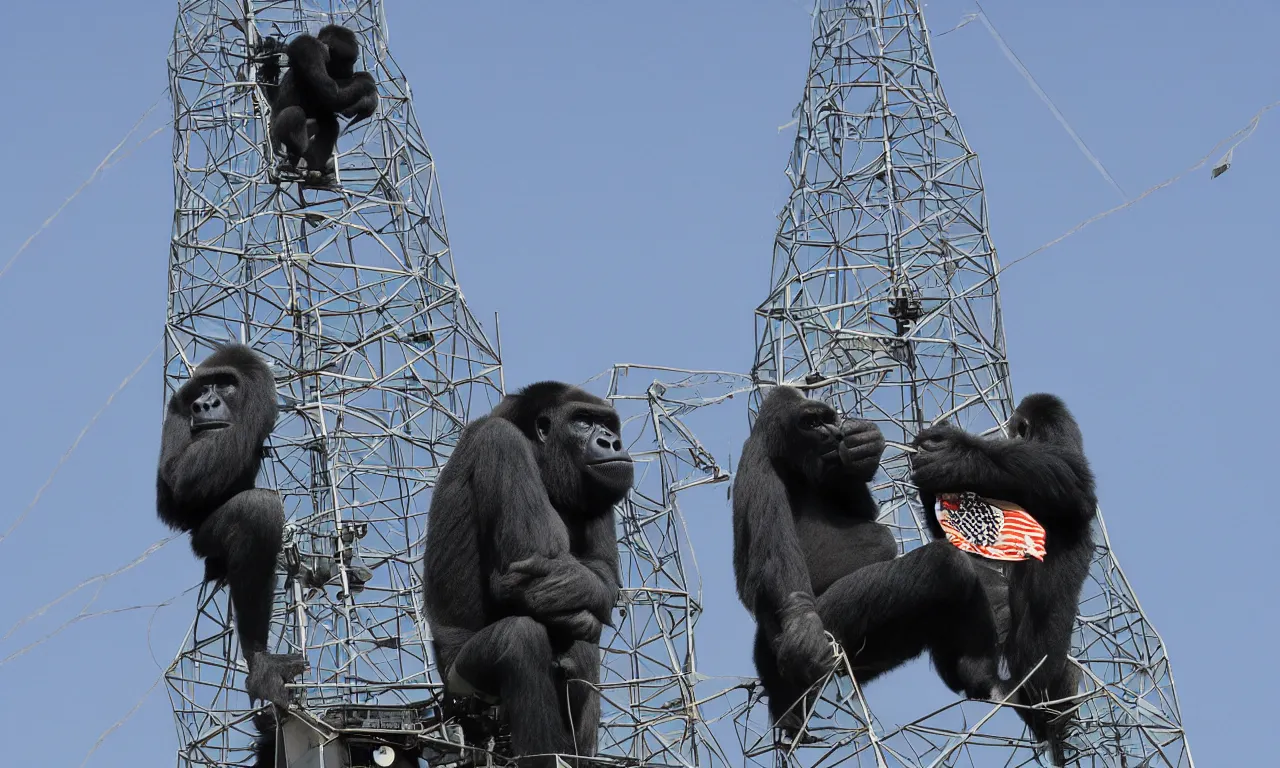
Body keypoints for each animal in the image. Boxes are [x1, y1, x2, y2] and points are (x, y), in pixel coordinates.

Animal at [153, 345, 303, 706]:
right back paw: (259, 660)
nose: (204, 404)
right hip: (203, 541)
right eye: (205, 387)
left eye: (224, 384)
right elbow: (179, 479)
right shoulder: (178, 405)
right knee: (256, 511)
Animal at [254, 24, 378, 185]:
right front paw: (367, 82)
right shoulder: (309, 48)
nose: (351, 70)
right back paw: (296, 157)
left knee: (328, 123)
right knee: (294, 114)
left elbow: (332, 103)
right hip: (277, 136)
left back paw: (314, 166)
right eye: (348, 61)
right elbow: (331, 93)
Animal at [424, 381, 634, 762]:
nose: (611, 441)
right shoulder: (501, 440)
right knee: (518, 640)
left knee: (580, 645)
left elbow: (602, 577)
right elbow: (530, 574)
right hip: (463, 690)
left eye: (607, 424)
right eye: (583, 421)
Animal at [732, 386, 998, 737]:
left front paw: (865, 446)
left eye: (827, 419)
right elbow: (775, 562)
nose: (833, 433)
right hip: (831, 630)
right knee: (945, 565)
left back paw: (974, 674)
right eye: (811, 423)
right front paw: (803, 625)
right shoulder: (760, 468)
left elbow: (867, 518)